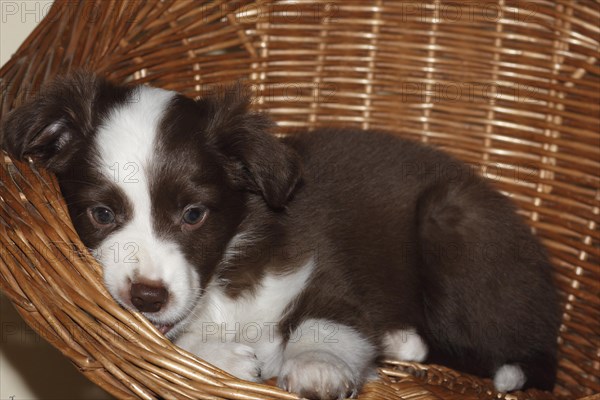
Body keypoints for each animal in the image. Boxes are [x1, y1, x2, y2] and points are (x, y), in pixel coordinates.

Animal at [1, 72, 564, 400]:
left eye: (193, 213)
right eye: (101, 213)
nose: (147, 297)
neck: (224, 279)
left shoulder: (327, 273)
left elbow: (328, 322)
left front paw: (316, 369)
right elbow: (173, 338)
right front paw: (227, 354)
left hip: (450, 222)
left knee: (527, 357)